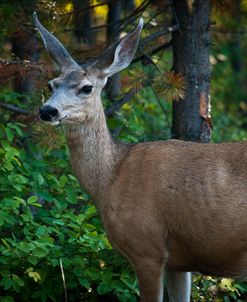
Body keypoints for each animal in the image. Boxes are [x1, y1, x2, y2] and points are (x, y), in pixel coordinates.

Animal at [33, 11, 247, 302]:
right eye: (52, 84)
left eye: (87, 88)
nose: (47, 110)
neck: (111, 178)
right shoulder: (178, 262)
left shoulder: (146, 247)